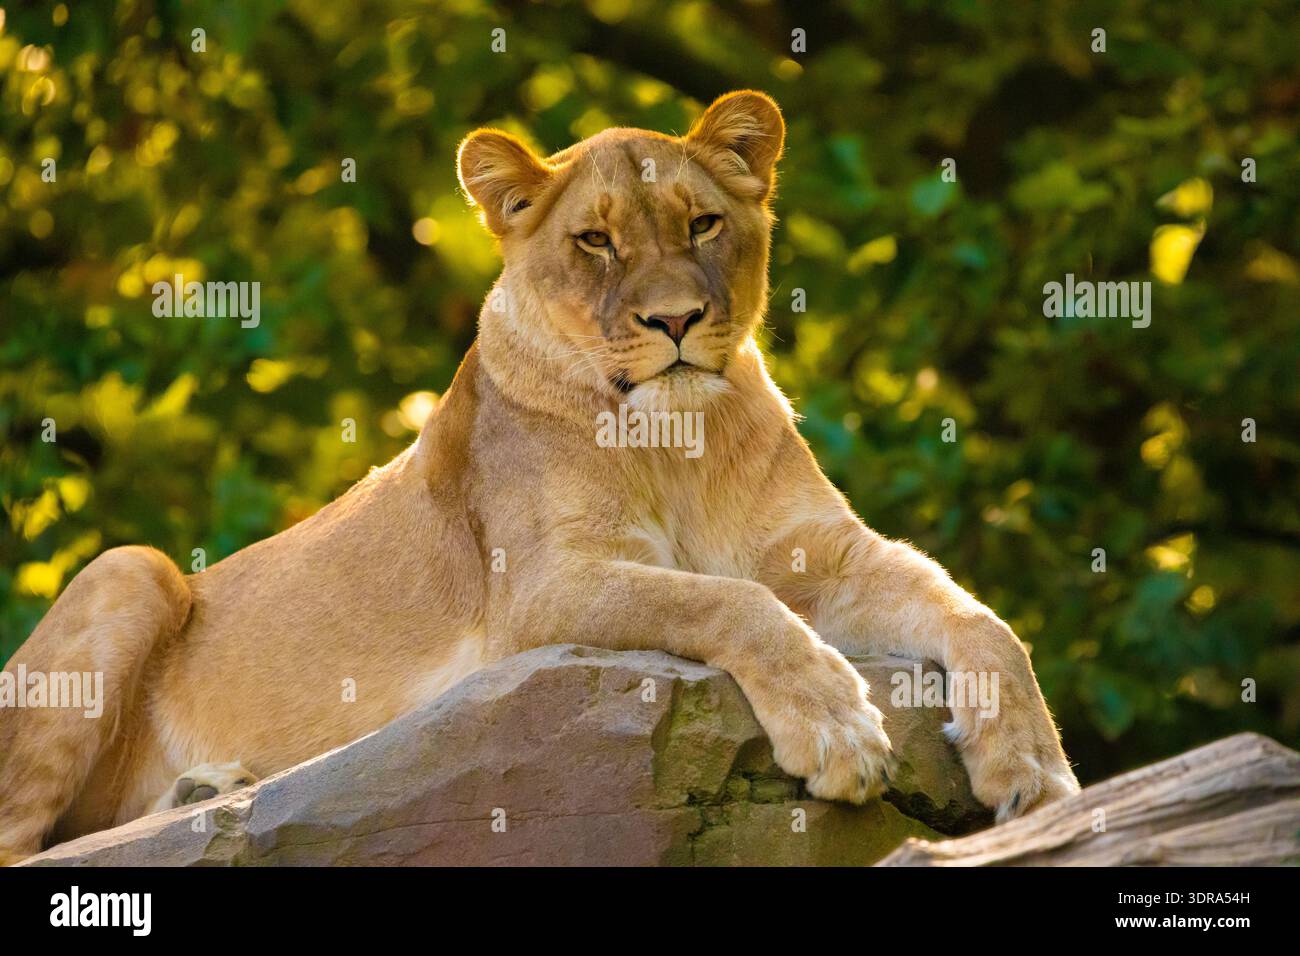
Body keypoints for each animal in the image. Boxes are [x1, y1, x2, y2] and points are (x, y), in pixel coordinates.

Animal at [0, 91, 1079, 865]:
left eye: (703, 224)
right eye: (595, 241)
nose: (676, 321)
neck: (675, 446)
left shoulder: (825, 553)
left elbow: (983, 619)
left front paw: (1036, 769)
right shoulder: (539, 593)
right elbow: (727, 602)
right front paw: (837, 726)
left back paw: (206, 791)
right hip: (130, 569)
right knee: (24, 836)